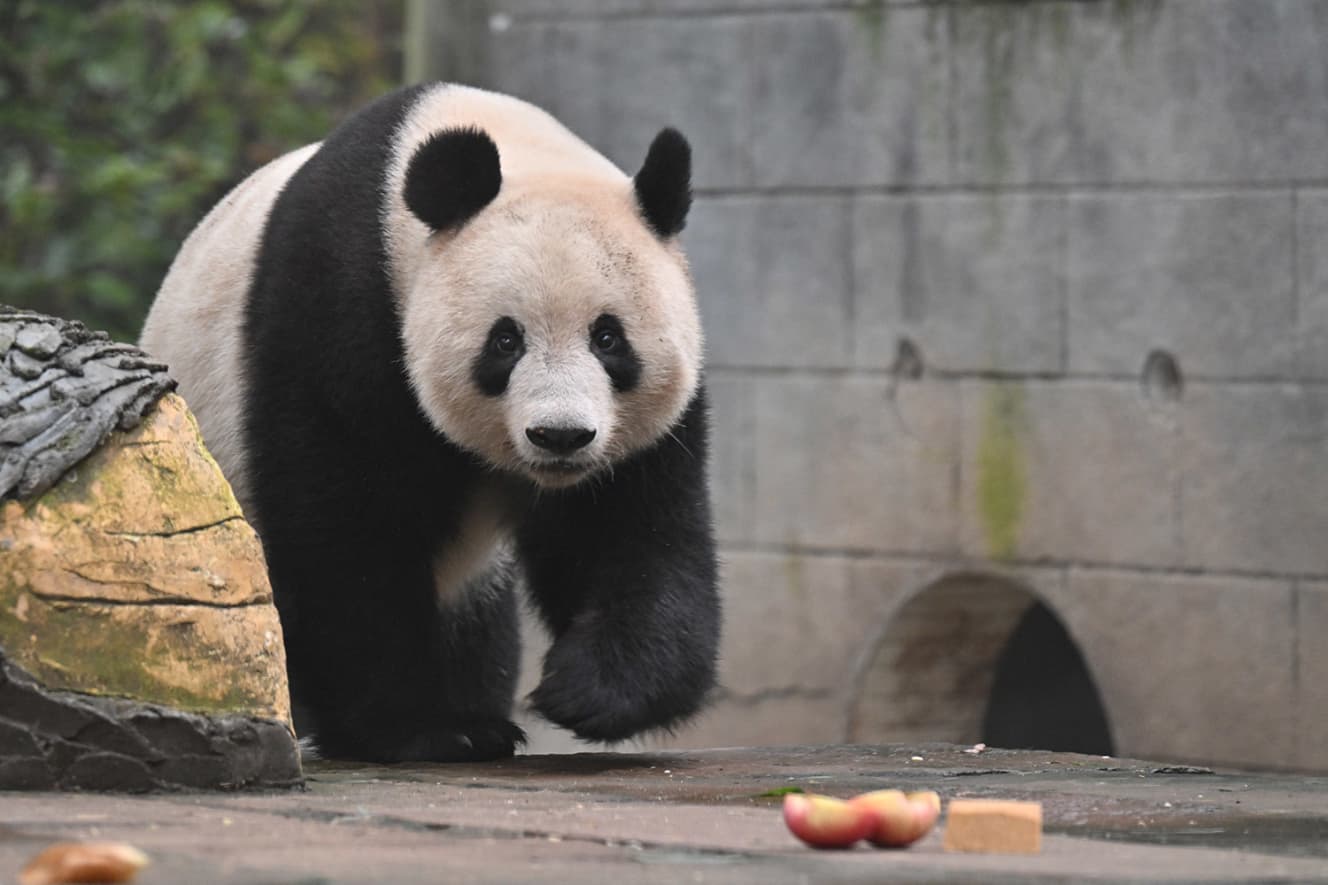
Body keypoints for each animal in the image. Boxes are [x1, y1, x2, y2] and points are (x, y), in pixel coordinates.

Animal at [140, 81, 722, 760]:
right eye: (505, 342)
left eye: (608, 338)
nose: (560, 437)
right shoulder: (335, 309)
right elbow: (347, 525)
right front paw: (421, 727)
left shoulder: (642, 431)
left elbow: (627, 525)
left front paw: (588, 692)